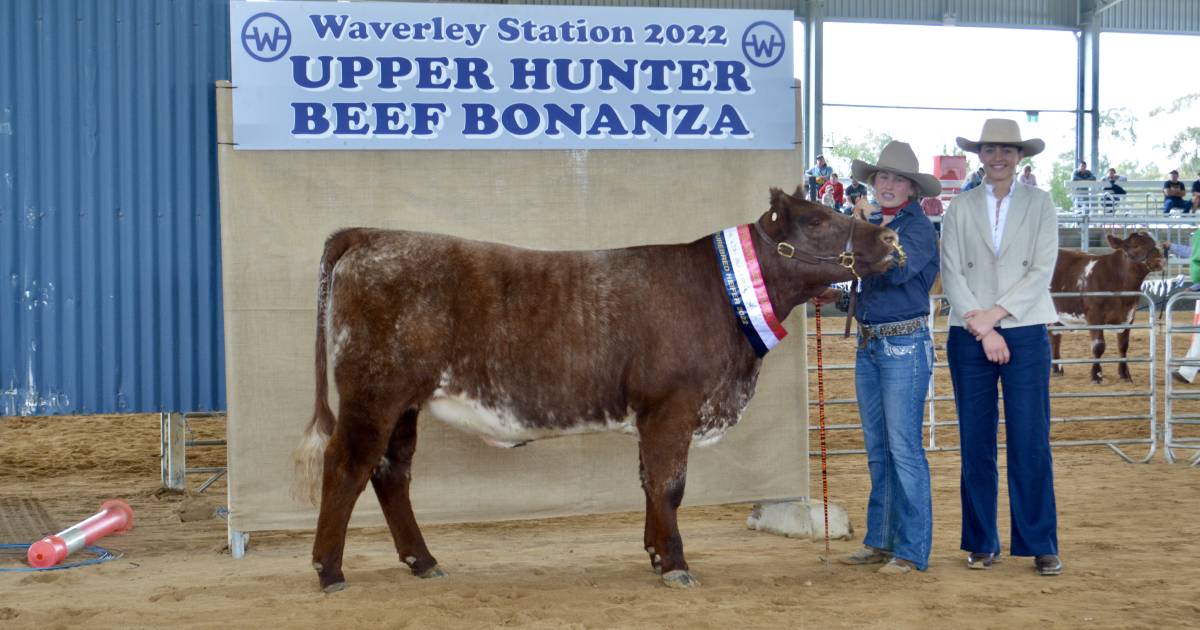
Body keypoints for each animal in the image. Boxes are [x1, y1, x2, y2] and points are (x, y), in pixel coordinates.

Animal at [295, 187, 902, 590]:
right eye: (817, 219)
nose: (890, 236)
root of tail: (371, 235)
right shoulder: (673, 407)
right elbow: (670, 486)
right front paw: (676, 566)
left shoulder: (652, 415)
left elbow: (650, 484)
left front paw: (655, 555)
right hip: (373, 394)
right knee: (347, 466)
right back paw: (329, 570)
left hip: (404, 404)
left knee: (391, 473)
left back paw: (423, 562)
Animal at [1051, 232, 1161, 384]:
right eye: (1136, 245)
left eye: (1155, 242)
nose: (1160, 259)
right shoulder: (1094, 316)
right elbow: (1098, 346)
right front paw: (1096, 375)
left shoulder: (1128, 316)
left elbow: (1123, 346)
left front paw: (1125, 375)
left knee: (1055, 337)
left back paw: (1057, 370)